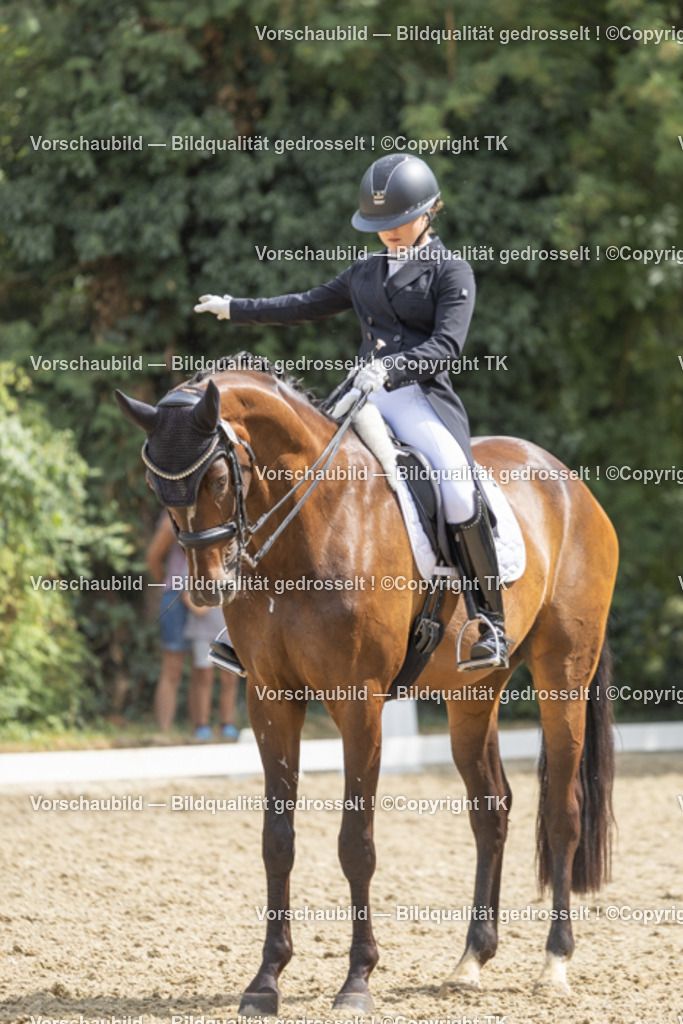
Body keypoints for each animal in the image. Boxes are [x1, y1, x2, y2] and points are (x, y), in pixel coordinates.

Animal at [116, 357, 618, 1014]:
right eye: (157, 486)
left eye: (220, 478)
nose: (207, 588)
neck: (312, 524)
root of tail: (569, 481)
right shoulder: (269, 701)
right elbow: (277, 839)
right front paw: (265, 980)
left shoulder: (360, 704)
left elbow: (356, 843)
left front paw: (357, 980)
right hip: (473, 694)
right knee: (491, 808)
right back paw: (471, 959)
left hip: (563, 676)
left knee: (562, 808)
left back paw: (555, 961)